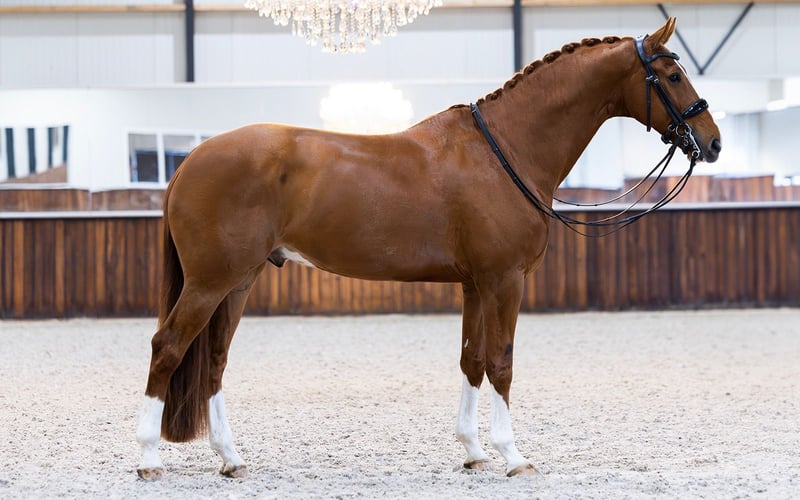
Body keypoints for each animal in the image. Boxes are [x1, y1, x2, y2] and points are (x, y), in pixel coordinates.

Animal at [136, 17, 721, 480]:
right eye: (672, 75)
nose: (712, 142)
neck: (505, 151)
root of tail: (191, 160)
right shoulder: (505, 281)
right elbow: (502, 362)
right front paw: (513, 456)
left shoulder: (475, 285)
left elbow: (471, 360)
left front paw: (474, 451)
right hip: (210, 282)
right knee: (167, 347)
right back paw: (147, 459)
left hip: (240, 280)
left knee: (214, 360)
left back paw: (231, 459)